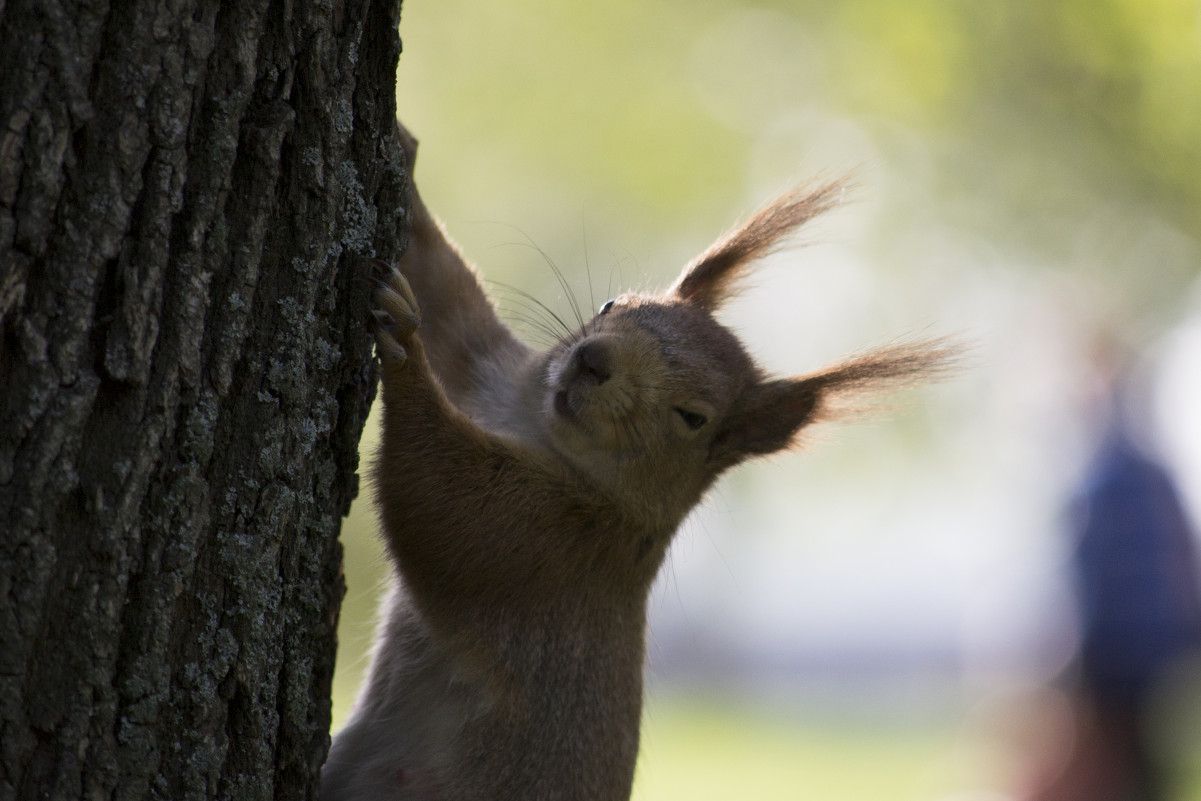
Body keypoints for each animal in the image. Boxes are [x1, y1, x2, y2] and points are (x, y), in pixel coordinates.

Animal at [321, 125, 955, 801]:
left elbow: (442, 499)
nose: (592, 360)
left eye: (692, 417)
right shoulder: (493, 376)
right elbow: (451, 300)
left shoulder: (558, 548)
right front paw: (406, 154)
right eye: (610, 305)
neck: (536, 429)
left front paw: (404, 346)